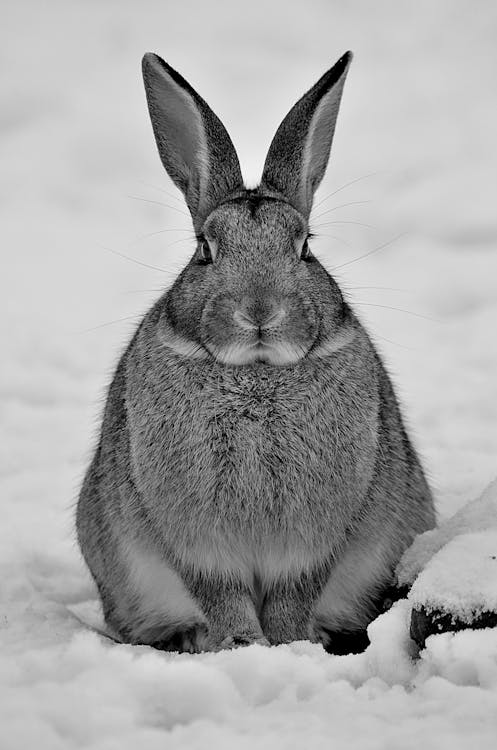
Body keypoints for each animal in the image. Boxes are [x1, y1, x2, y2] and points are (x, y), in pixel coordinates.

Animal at [76, 50, 436, 655]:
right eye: (204, 249)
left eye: (305, 245)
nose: (260, 310)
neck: (258, 373)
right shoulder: (198, 545)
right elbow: (221, 594)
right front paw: (242, 645)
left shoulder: (313, 543)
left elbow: (294, 594)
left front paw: (289, 646)